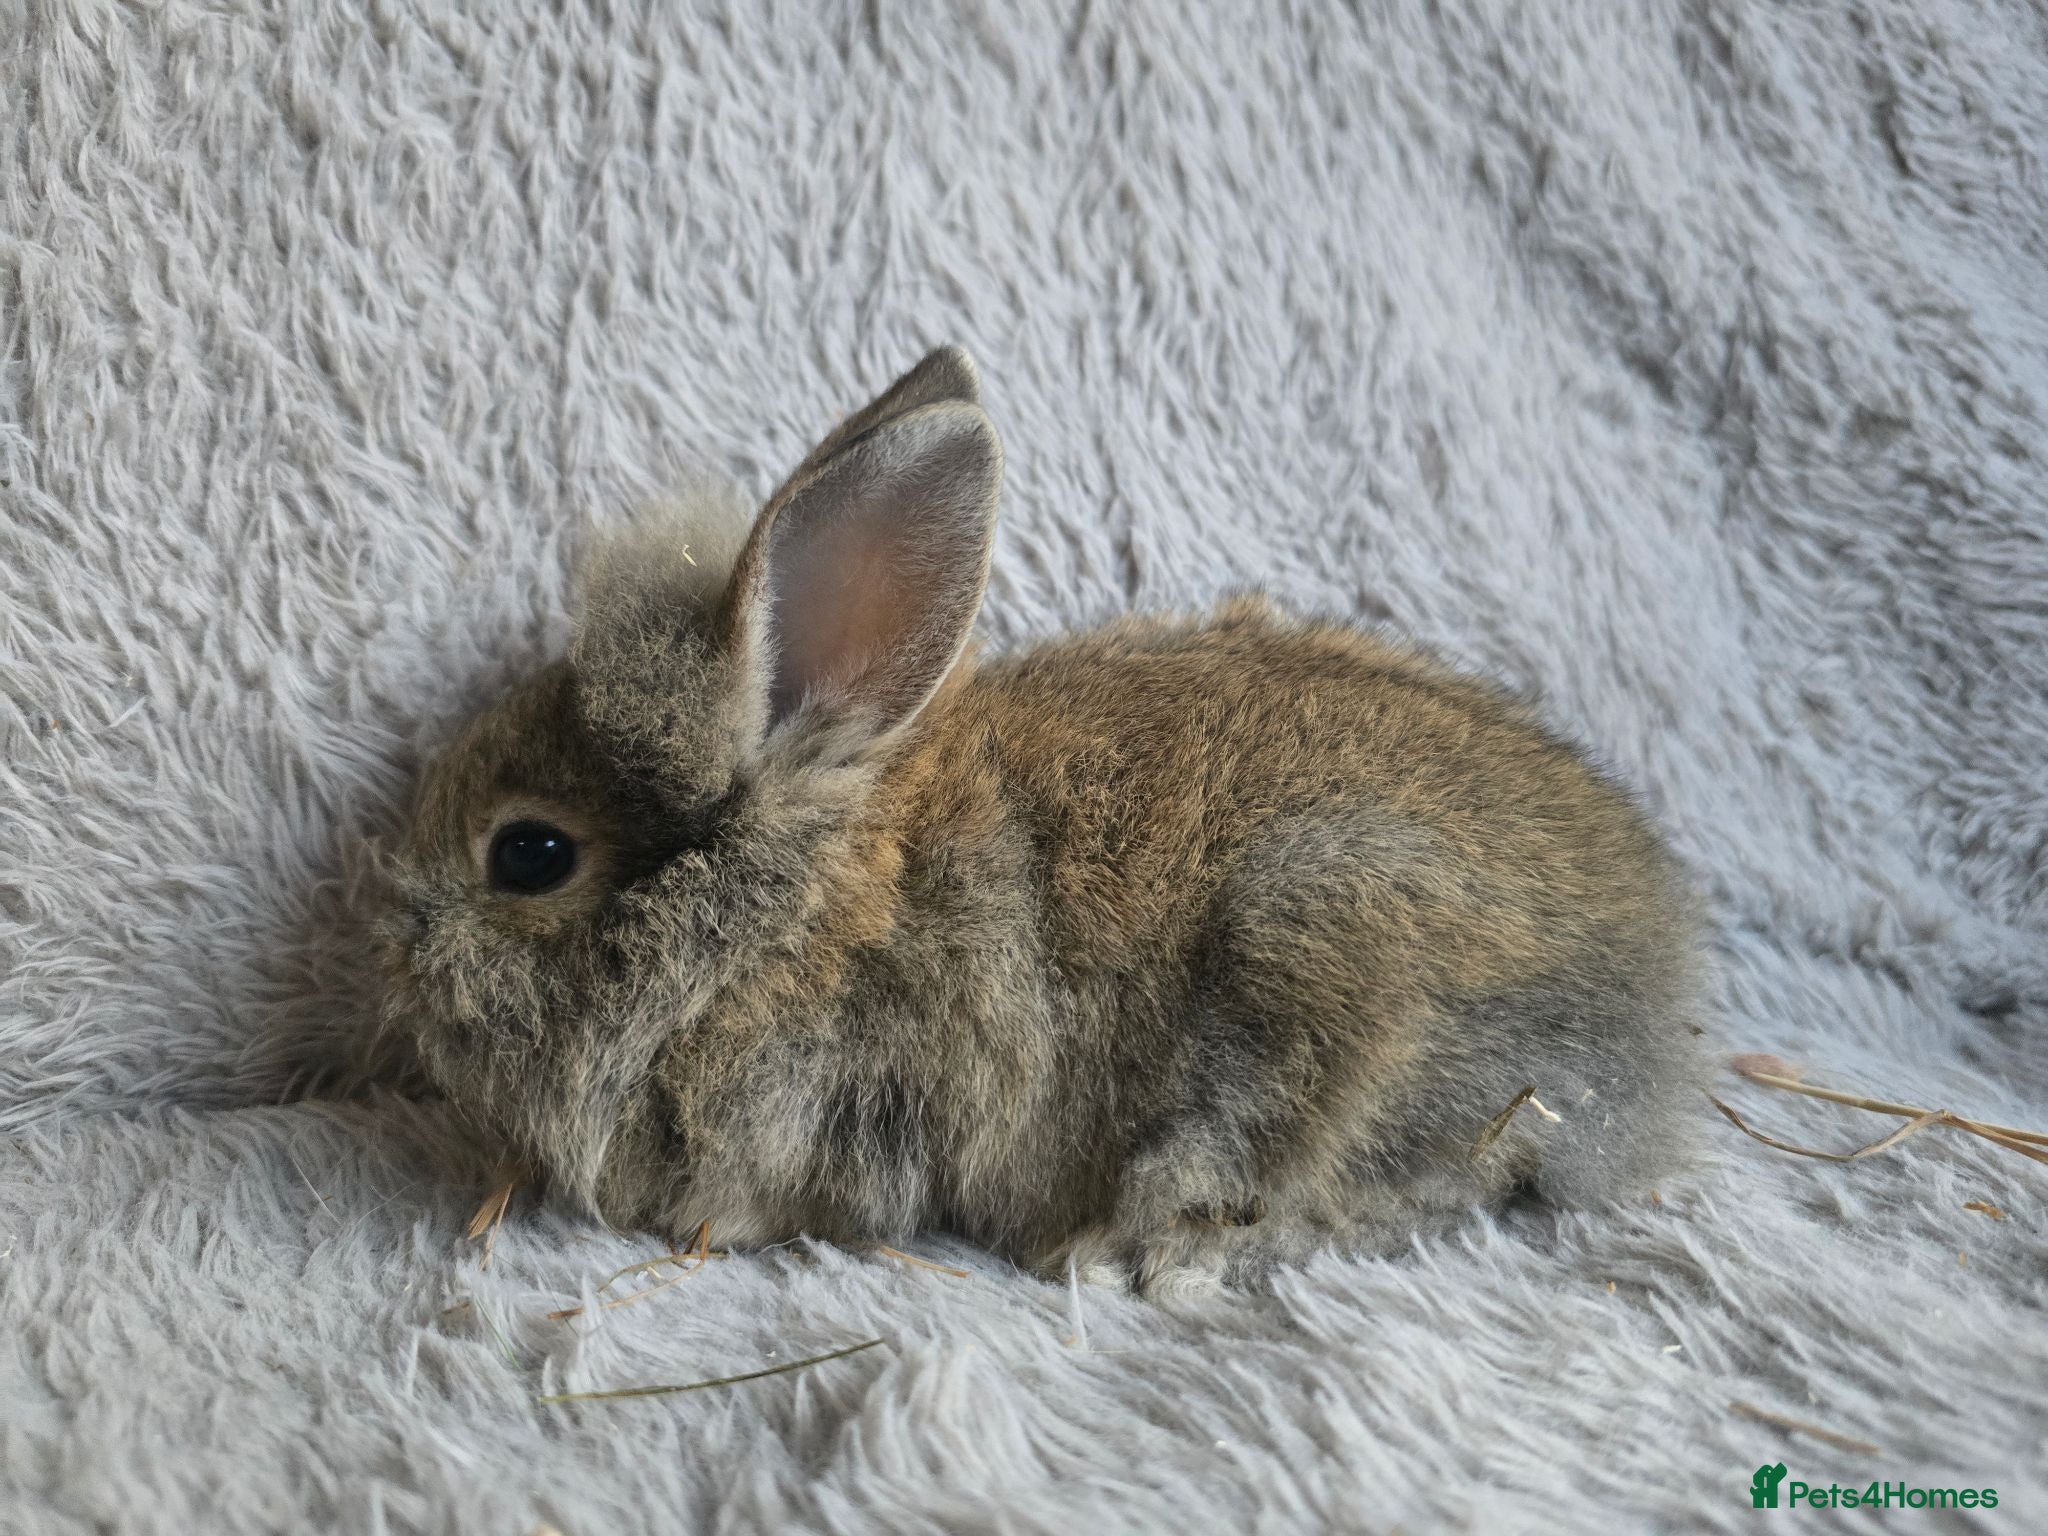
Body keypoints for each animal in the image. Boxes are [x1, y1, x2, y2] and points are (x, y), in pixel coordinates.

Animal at [378, 345, 1707, 1299]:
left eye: (530, 854)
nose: (390, 949)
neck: (789, 909)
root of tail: (1650, 1031)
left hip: (1331, 952)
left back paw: (1142, 1253)